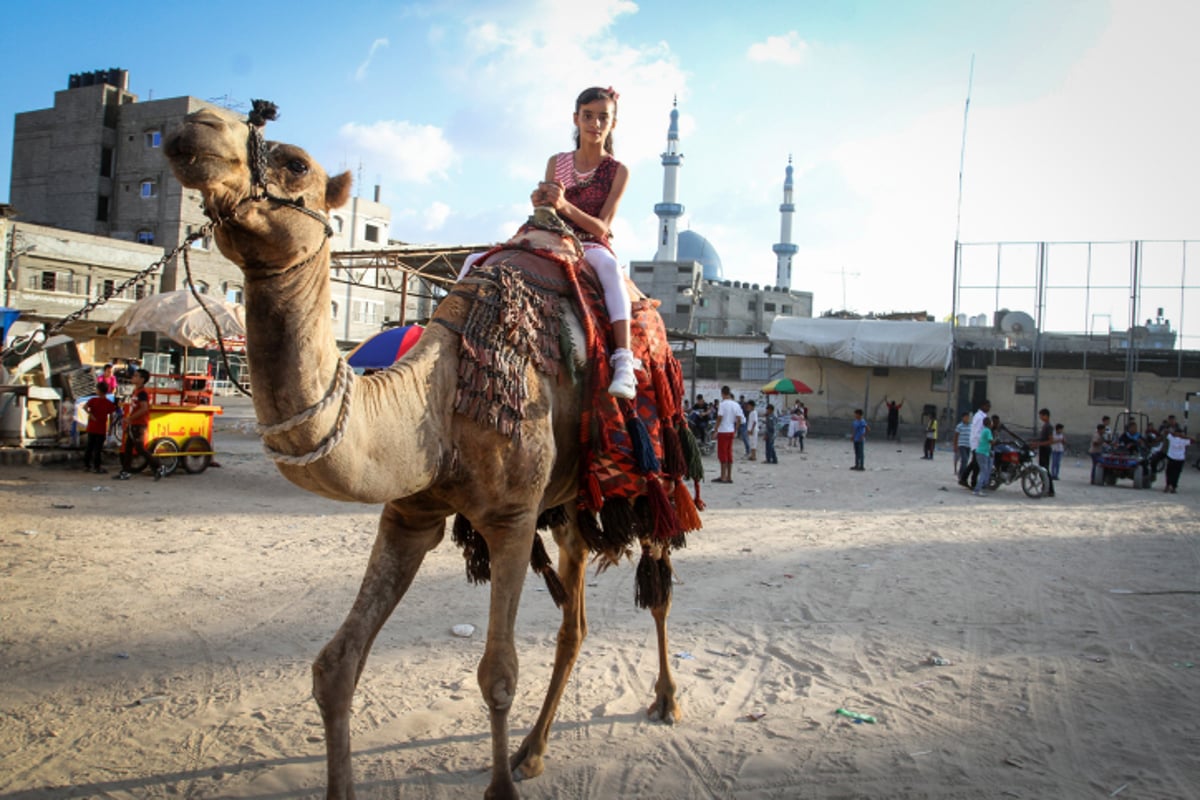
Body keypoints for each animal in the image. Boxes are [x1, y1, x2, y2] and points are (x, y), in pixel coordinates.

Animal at [162, 107, 686, 800]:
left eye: (296, 163)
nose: (196, 125)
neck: (439, 404)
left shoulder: (512, 519)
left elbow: (497, 675)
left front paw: (499, 789)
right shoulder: (409, 514)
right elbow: (335, 665)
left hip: (654, 470)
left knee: (657, 585)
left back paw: (666, 700)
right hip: (573, 501)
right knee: (573, 624)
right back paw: (533, 751)